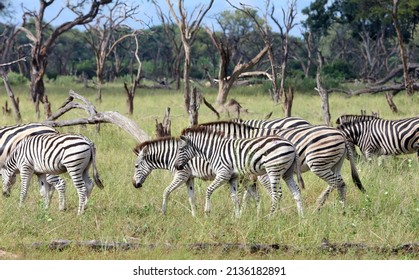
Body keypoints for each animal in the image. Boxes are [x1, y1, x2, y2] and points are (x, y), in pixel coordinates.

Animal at [133, 137, 286, 217]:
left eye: (136, 166)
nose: (135, 185)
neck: (172, 156)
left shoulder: (181, 175)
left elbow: (166, 191)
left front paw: (163, 212)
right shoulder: (189, 178)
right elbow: (191, 198)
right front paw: (195, 216)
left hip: (264, 176)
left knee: (276, 193)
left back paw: (276, 214)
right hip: (247, 178)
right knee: (256, 195)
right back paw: (257, 215)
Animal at [172, 126, 304, 217]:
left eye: (180, 149)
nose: (177, 166)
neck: (214, 150)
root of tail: (290, 143)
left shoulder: (223, 174)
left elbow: (208, 191)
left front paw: (207, 212)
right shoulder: (233, 177)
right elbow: (234, 197)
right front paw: (237, 217)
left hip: (273, 169)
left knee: (276, 194)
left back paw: (270, 217)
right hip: (287, 173)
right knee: (296, 191)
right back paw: (301, 217)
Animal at [199, 120, 366, 210]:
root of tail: (341, 134)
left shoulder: (262, 172)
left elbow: (267, 192)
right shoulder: (251, 173)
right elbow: (249, 193)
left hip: (318, 162)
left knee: (337, 183)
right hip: (333, 163)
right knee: (336, 183)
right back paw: (327, 206)